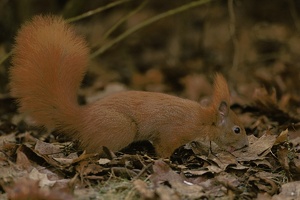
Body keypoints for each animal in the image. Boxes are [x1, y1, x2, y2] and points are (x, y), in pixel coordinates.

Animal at [8, 15, 248, 158]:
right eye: (237, 129)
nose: (246, 145)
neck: (202, 119)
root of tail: (82, 118)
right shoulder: (173, 132)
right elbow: (164, 147)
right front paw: (168, 161)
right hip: (121, 129)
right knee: (91, 150)